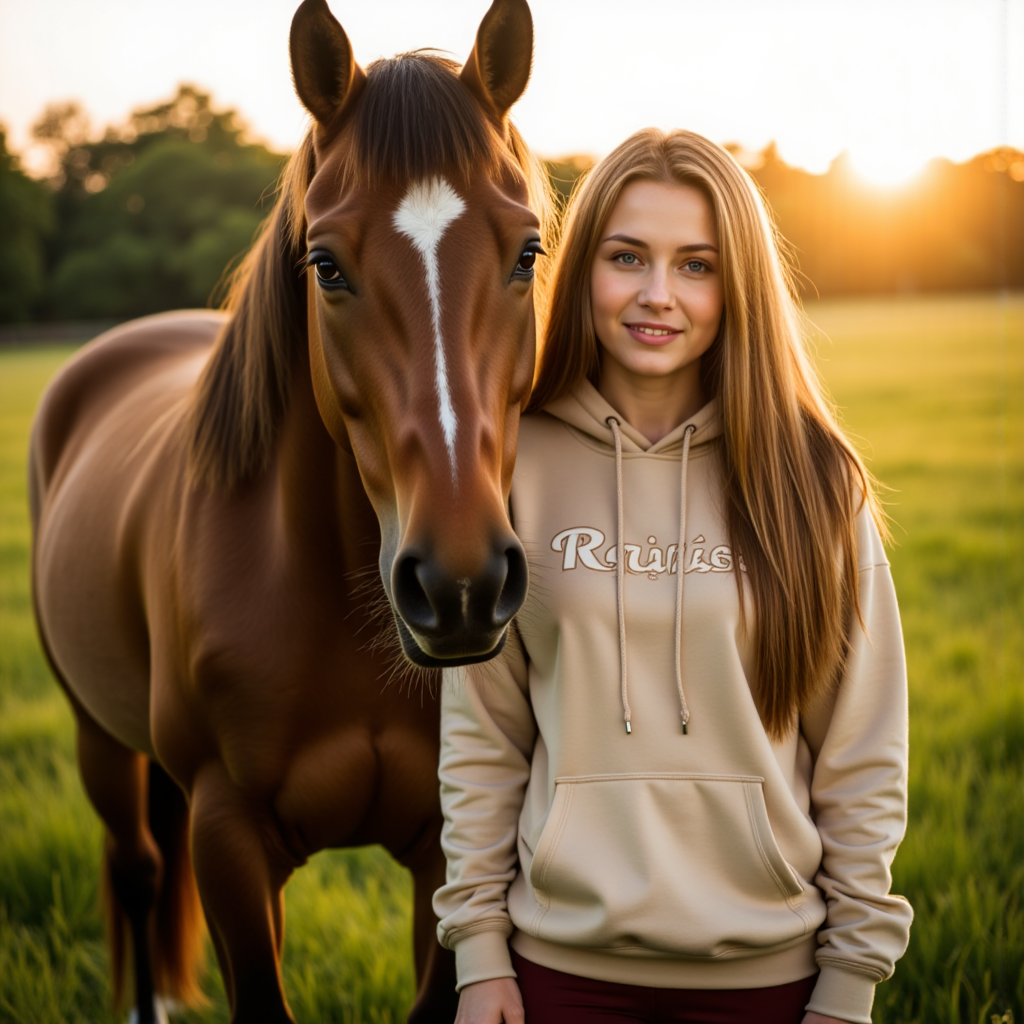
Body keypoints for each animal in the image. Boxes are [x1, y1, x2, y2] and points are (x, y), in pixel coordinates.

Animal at [28, 1, 550, 1020]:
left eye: (527, 251)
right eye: (326, 265)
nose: (461, 585)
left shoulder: (446, 844)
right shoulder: (228, 836)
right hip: (99, 738)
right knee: (139, 871)